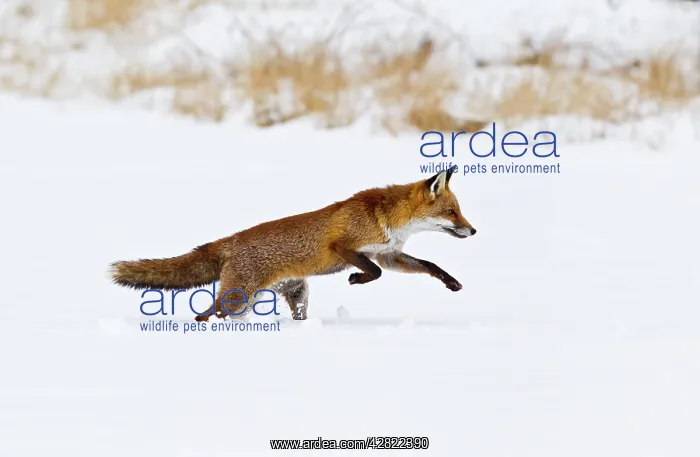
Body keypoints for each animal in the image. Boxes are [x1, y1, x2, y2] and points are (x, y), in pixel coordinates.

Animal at [110, 167, 477, 321]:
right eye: (452, 212)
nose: (473, 231)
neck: (389, 220)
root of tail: (231, 240)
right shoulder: (344, 246)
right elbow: (373, 273)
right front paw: (355, 279)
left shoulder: (388, 254)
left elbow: (428, 266)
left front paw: (452, 282)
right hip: (237, 299)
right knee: (204, 317)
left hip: (295, 294)